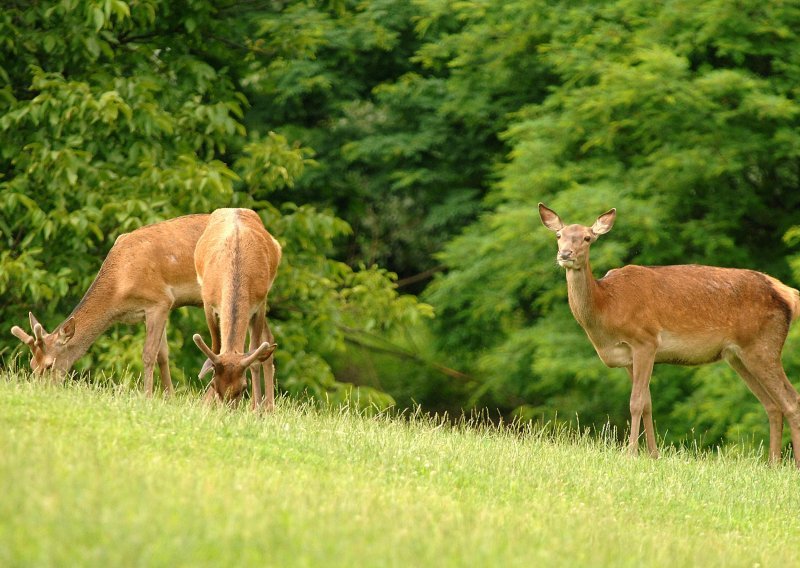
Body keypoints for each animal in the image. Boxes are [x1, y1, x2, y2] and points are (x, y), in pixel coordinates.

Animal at [10, 213, 211, 394]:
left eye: (49, 365)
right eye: (32, 364)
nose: (39, 390)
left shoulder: (160, 300)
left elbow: (148, 354)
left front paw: (148, 397)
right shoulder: (151, 310)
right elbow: (162, 355)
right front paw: (169, 398)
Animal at [192, 206, 282, 410]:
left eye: (243, 387)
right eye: (214, 384)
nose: (226, 411)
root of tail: (234, 208)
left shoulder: (259, 304)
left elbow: (255, 356)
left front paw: (256, 410)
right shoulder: (208, 303)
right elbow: (216, 348)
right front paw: (206, 404)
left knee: (267, 342)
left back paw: (268, 408)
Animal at [536, 203, 800, 466]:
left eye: (587, 238)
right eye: (558, 236)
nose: (565, 254)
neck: (607, 308)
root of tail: (788, 294)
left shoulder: (645, 340)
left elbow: (635, 402)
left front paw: (631, 453)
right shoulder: (628, 358)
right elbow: (647, 404)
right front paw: (653, 455)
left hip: (763, 344)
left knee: (791, 400)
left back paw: (791, 464)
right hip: (737, 355)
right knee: (772, 404)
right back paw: (772, 463)